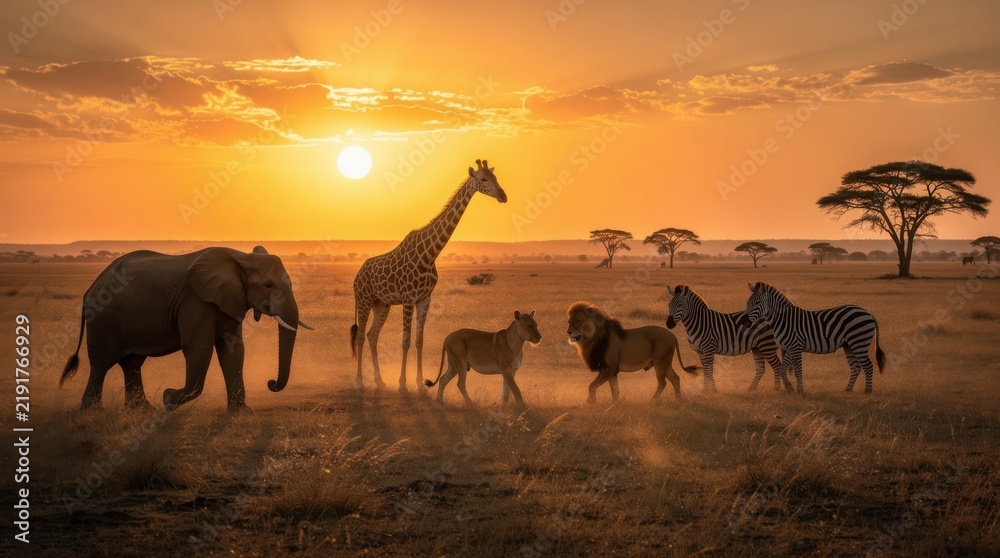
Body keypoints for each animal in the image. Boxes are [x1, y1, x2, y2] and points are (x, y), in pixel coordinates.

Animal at [60, 246, 312, 413]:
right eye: (268, 285)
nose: (270, 383)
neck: (241, 258)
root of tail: (91, 287)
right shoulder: (196, 301)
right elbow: (198, 349)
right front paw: (169, 399)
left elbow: (233, 350)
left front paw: (241, 413)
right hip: (104, 319)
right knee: (102, 363)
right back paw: (93, 412)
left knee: (131, 363)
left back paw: (141, 411)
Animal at [567, 302, 700, 403]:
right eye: (569, 322)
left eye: (578, 322)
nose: (568, 332)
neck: (592, 338)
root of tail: (673, 336)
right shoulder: (611, 371)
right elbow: (614, 389)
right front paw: (615, 404)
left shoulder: (608, 368)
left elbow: (592, 385)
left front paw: (591, 401)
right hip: (666, 363)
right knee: (675, 379)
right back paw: (678, 401)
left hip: (660, 363)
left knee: (662, 383)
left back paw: (652, 401)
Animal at [740, 282, 886, 394]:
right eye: (747, 303)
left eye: (758, 302)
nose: (743, 321)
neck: (783, 319)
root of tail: (868, 313)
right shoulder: (789, 347)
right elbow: (782, 368)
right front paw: (790, 388)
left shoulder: (795, 346)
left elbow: (798, 370)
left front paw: (800, 391)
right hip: (848, 345)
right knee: (856, 367)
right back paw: (847, 390)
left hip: (859, 341)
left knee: (868, 366)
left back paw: (867, 391)